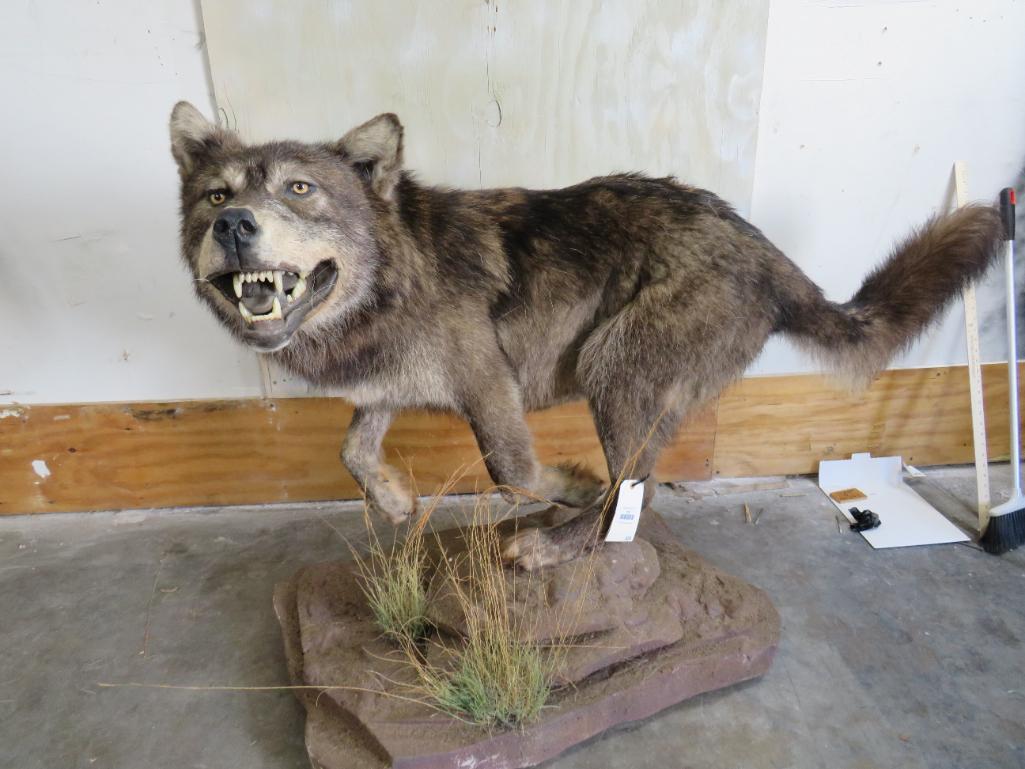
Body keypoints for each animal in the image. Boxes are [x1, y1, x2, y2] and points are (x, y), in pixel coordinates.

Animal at [169, 101, 1002, 570]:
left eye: (298, 189)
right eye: (215, 195)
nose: (232, 224)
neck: (389, 276)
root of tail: (772, 258)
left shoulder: (488, 383)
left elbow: (511, 469)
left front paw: (567, 487)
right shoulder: (384, 388)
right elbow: (351, 449)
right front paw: (397, 499)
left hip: (610, 365)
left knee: (637, 495)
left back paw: (559, 539)